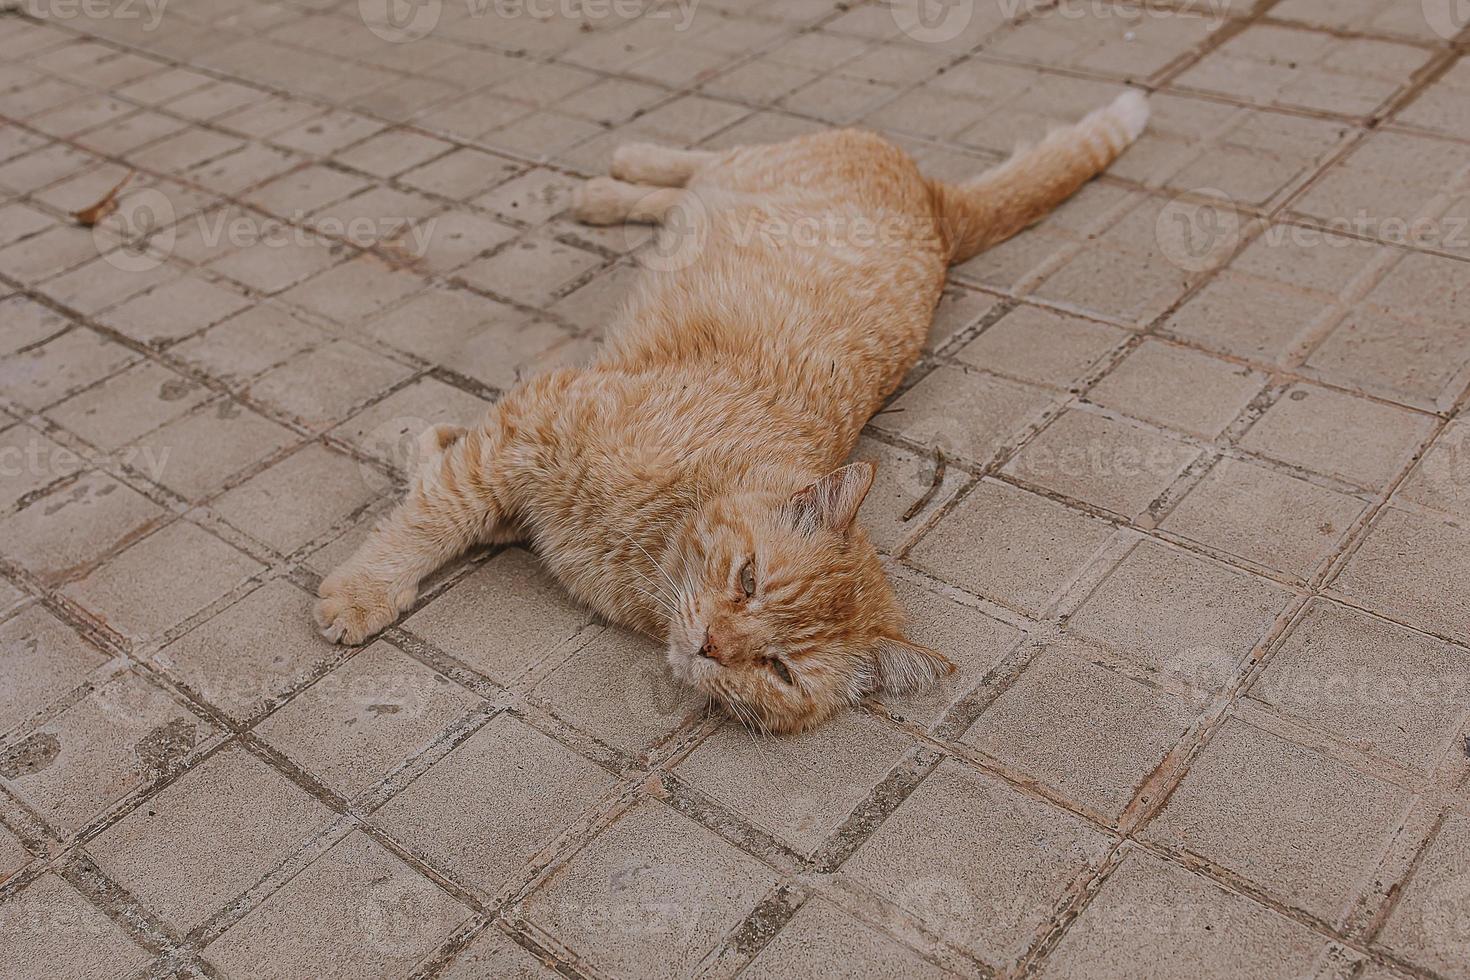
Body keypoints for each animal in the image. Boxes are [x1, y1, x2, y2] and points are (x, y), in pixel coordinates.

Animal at [318, 91, 1146, 731]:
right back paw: (620, 174)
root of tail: (937, 206)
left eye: (778, 669)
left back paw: (610, 189)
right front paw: (365, 590)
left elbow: (448, 493)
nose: (711, 646)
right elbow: (428, 520)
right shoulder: (530, 425)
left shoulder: (519, 461)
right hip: (750, 167)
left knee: (680, 193)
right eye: (748, 580)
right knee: (697, 160)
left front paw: (425, 452)